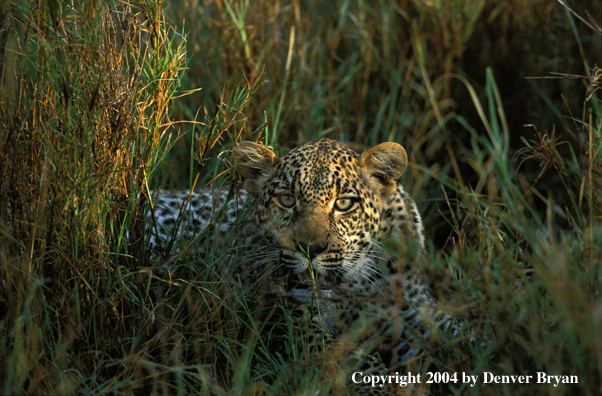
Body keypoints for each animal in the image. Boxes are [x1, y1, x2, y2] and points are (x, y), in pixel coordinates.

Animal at [145, 138, 460, 394]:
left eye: (343, 203)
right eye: (287, 200)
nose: (310, 248)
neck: (353, 286)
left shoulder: (417, 310)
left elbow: (458, 332)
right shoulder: (294, 317)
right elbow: (349, 358)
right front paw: (382, 387)